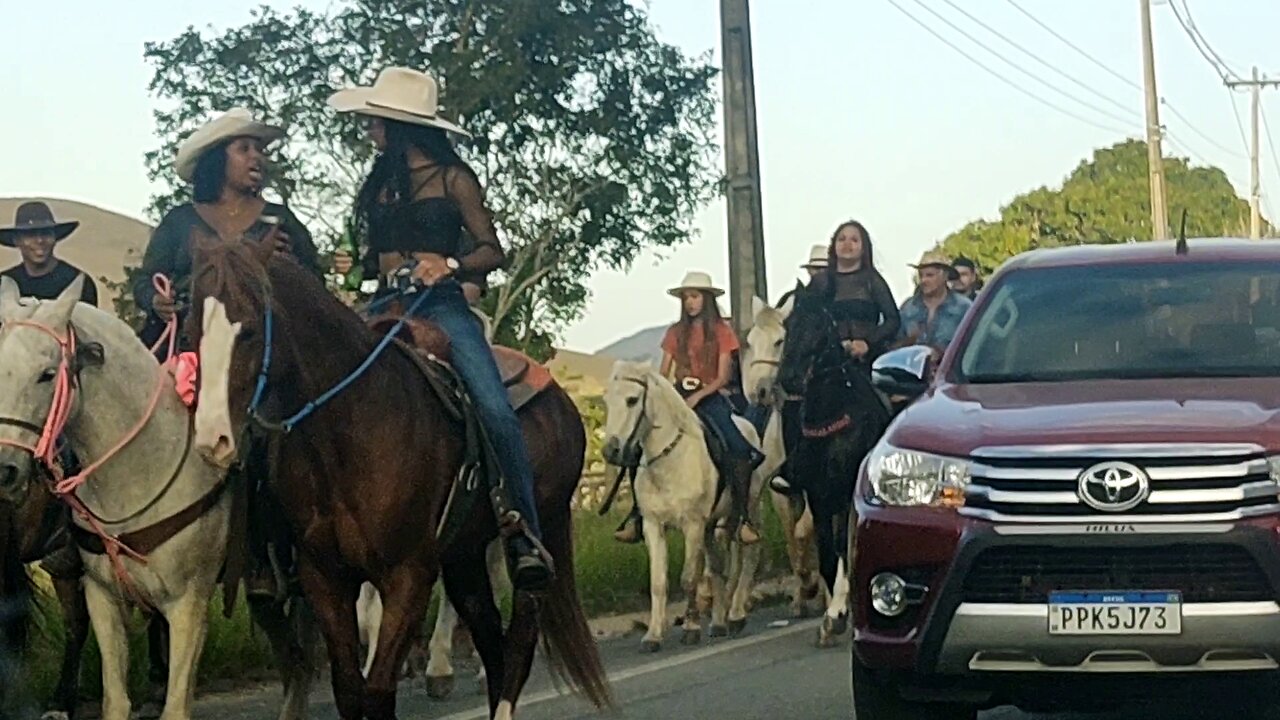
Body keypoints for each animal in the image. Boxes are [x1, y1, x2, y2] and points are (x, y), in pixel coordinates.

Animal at [185, 239, 614, 717]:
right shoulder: (325, 578)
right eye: (192, 329)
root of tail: (560, 398)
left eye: (250, 331)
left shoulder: (408, 577)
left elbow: (377, 690)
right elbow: (350, 689)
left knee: (519, 642)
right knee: (490, 640)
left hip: (537, 537)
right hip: (464, 555)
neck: (350, 430)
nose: (213, 439)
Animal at [596, 361, 762, 648]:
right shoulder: (654, 525)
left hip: (747, 507)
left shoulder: (692, 525)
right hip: (711, 526)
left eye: (632, 400)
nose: (611, 451)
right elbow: (658, 582)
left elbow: (689, 578)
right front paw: (653, 635)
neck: (669, 461)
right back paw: (719, 622)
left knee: (748, 553)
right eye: (607, 400)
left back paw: (735, 615)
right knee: (718, 567)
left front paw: (691, 628)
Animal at [773, 281, 896, 645]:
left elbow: (843, 547)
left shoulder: (844, 496)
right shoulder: (818, 496)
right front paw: (832, 619)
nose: (789, 379)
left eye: (818, 326)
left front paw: (839, 611)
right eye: (788, 325)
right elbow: (828, 552)